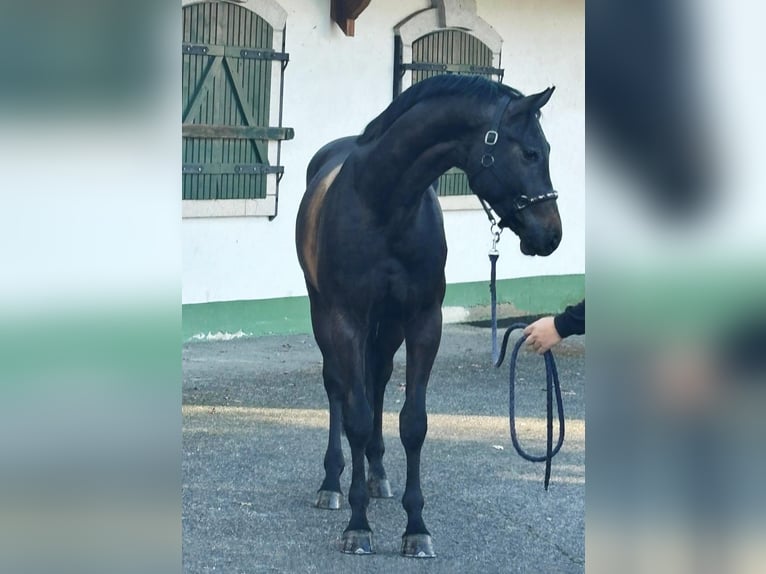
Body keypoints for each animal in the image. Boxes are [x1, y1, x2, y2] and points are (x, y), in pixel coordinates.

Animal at [294, 73, 564, 560]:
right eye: (531, 152)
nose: (551, 234)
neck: (383, 204)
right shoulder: (345, 320)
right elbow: (355, 415)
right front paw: (358, 527)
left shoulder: (422, 322)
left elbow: (413, 423)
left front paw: (416, 527)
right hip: (322, 313)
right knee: (338, 388)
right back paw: (332, 483)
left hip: (387, 326)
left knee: (378, 381)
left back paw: (379, 476)